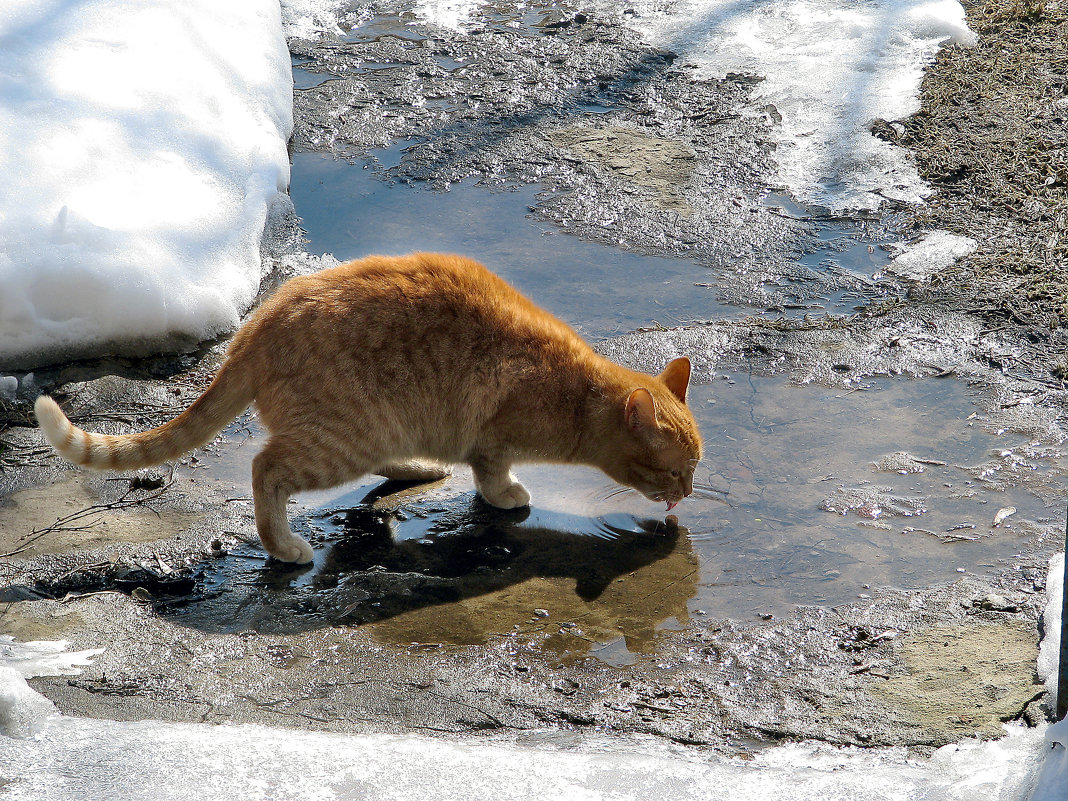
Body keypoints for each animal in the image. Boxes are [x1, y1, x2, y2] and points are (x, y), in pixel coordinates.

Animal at [33, 255, 700, 563]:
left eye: (696, 468)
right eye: (674, 470)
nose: (688, 493)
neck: (573, 393)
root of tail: (257, 325)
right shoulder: (492, 439)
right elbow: (492, 473)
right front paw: (507, 495)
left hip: (376, 431)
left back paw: (417, 468)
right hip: (342, 439)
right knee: (264, 469)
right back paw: (284, 546)